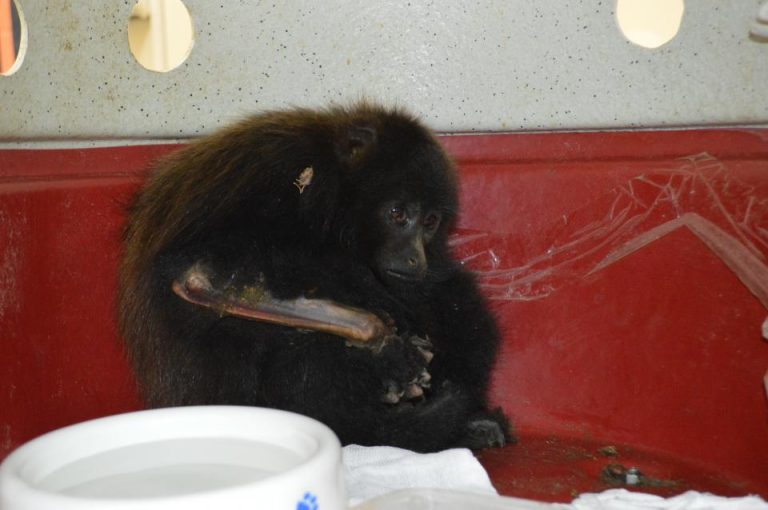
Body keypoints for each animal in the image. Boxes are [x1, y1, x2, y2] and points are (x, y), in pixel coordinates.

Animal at [118, 103, 510, 452]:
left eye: (430, 222)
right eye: (398, 213)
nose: (415, 257)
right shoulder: (284, 173)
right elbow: (198, 279)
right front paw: (387, 350)